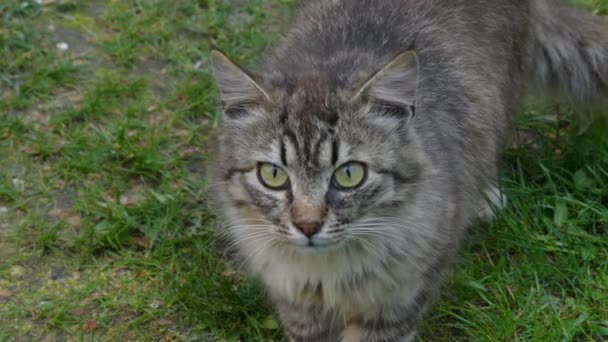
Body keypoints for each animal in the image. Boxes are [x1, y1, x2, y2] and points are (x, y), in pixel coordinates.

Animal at [210, 1, 608, 340]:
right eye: (273, 175)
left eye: (349, 174)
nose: (307, 226)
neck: (330, 274)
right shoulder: (297, 306)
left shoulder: (397, 301)